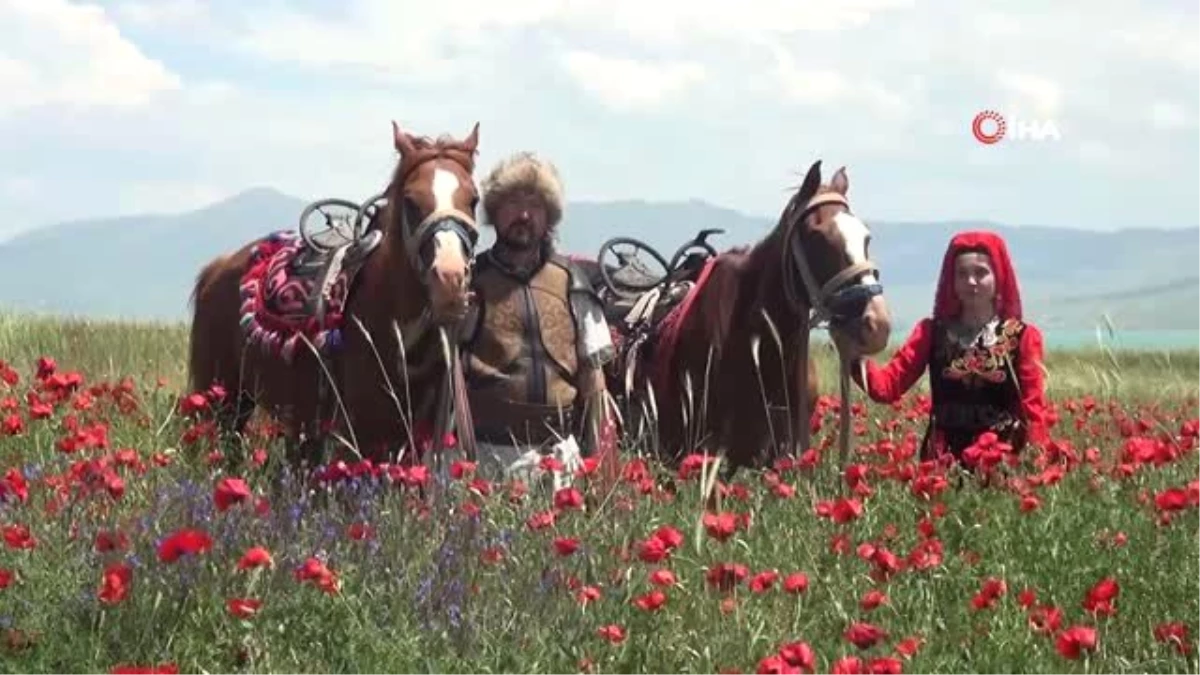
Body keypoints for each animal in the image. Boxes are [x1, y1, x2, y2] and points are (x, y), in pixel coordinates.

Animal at [187, 120, 482, 466]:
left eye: (474, 200)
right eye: (411, 201)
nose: (449, 278)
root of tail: (216, 268)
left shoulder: (409, 440)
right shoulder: (362, 436)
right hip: (219, 397)